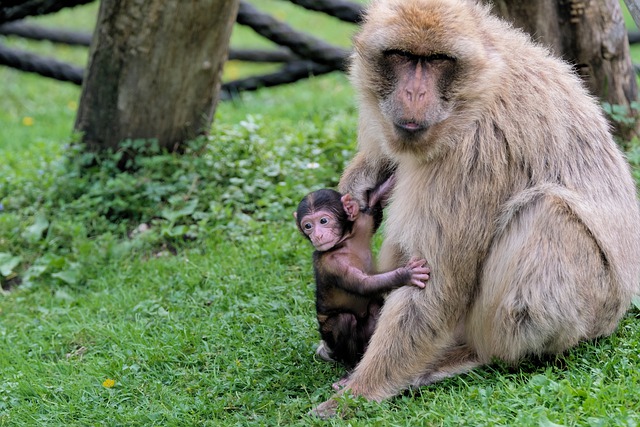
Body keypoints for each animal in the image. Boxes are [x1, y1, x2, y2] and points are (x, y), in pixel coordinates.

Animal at [294, 177, 430, 375]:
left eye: (323, 220)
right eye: (308, 226)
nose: (317, 235)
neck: (344, 242)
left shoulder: (364, 222)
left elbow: (374, 203)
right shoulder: (333, 264)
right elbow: (362, 284)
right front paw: (406, 274)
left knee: (374, 306)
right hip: (330, 339)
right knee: (344, 320)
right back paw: (351, 367)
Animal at [311, 0, 640, 418]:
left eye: (437, 60)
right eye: (402, 56)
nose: (414, 92)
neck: (477, 85)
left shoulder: (477, 148)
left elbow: (436, 289)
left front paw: (356, 394)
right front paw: (358, 185)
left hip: (595, 304)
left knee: (547, 211)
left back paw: (474, 354)